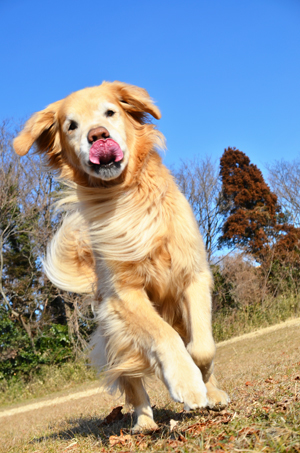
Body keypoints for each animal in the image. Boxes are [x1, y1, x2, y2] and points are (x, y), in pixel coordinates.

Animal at [14, 81, 229, 430]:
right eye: (71, 126)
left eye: (110, 112)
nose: (98, 135)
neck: (127, 196)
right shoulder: (124, 294)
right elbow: (163, 335)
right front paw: (185, 382)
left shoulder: (193, 275)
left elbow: (202, 348)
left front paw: (206, 384)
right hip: (116, 331)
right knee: (132, 379)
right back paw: (143, 421)